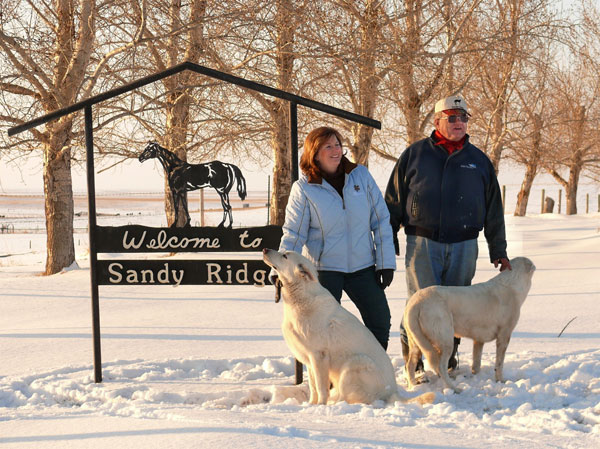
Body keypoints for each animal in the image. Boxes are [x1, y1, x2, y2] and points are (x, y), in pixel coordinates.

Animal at [264, 248, 434, 406]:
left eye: (285, 256)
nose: (265, 250)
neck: (301, 297)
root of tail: (392, 392)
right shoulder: (309, 360)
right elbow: (313, 387)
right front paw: (311, 404)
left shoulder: (319, 356)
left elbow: (320, 387)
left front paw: (320, 405)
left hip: (353, 365)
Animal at [404, 256, 536, 392]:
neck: (512, 285)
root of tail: (416, 302)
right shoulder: (504, 335)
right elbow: (499, 363)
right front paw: (501, 380)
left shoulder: (479, 340)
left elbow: (476, 363)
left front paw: (476, 376)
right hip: (445, 340)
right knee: (440, 367)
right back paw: (454, 388)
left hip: (416, 341)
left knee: (410, 365)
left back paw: (412, 387)